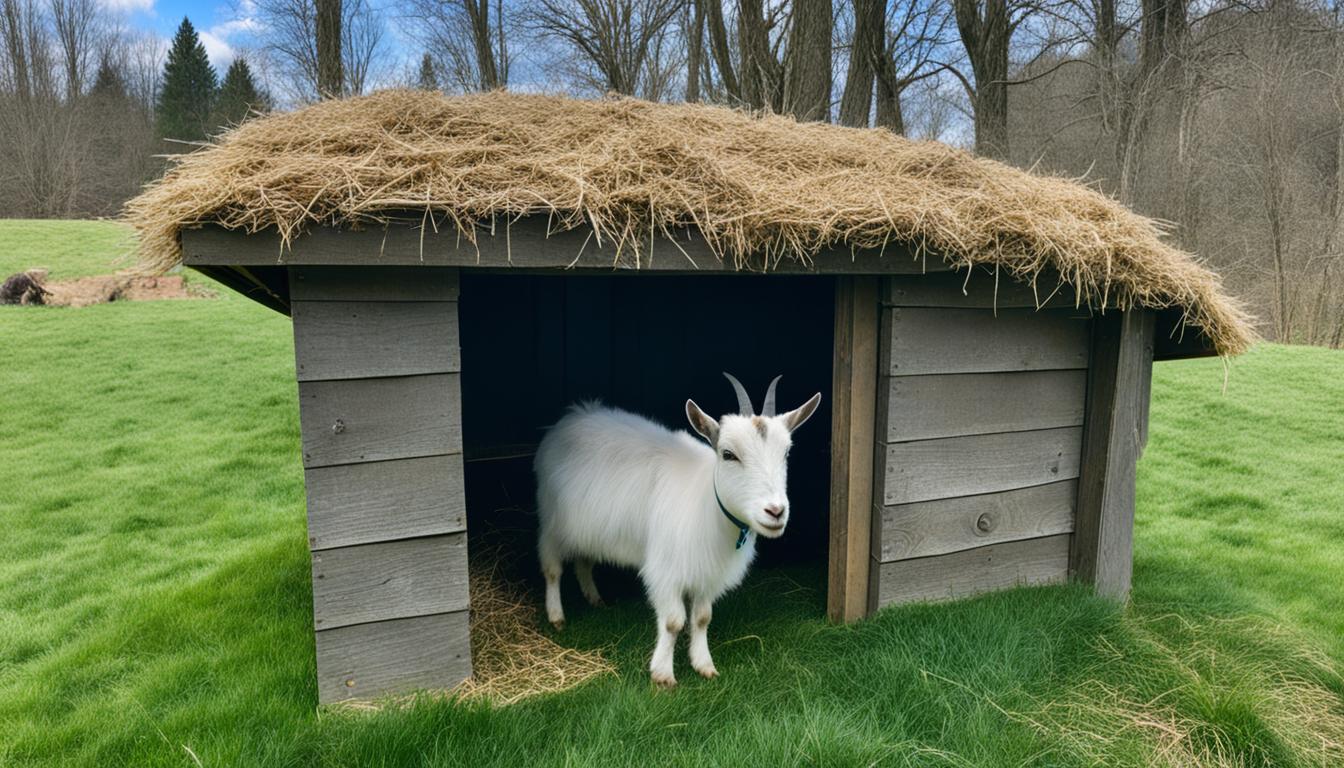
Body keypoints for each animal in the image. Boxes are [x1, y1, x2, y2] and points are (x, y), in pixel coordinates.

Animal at [532, 376, 817, 688]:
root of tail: (574, 416)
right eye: (728, 454)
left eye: (786, 452)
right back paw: (557, 616)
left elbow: (702, 617)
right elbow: (672, 621)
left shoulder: (708, 571)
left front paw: (704, 664)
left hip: (590, 529)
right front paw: (663, 674)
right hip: (552, 519)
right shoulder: (666, 571)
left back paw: (595, 599)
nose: (775, 511)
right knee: (552, 568)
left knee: (584, 561)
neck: (707, 503)